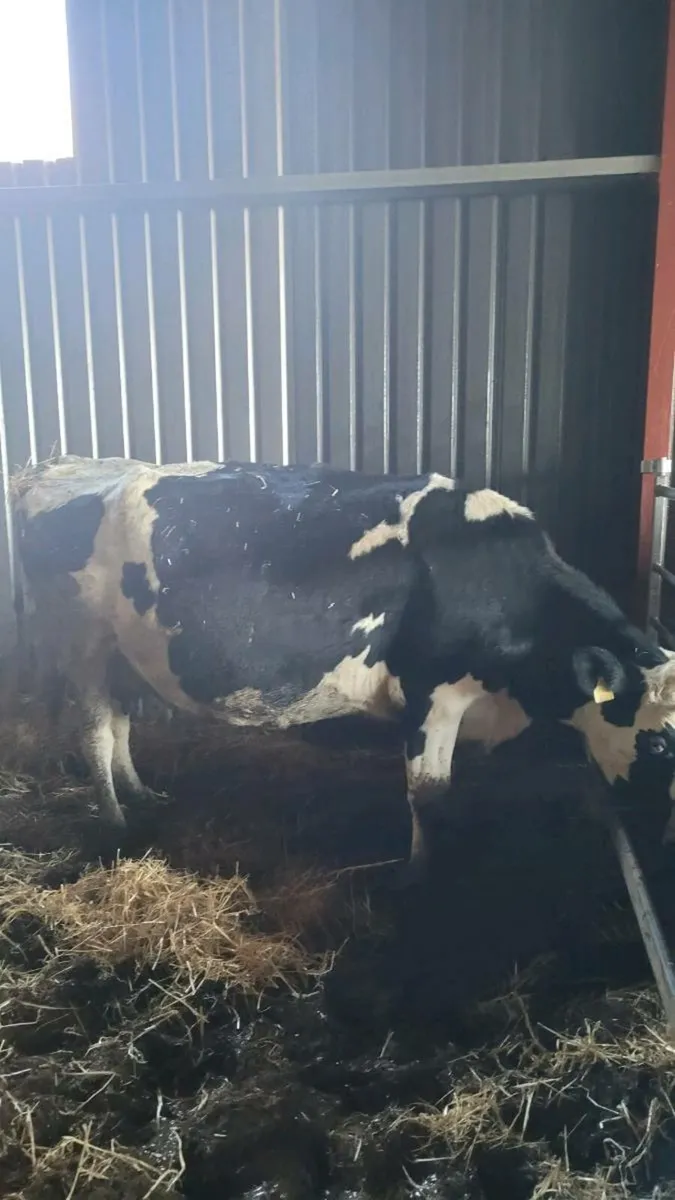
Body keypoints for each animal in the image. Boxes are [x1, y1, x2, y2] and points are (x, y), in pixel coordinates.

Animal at [11, 454, 675, 881]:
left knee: (120, 722)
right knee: (95, 732)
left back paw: (142, 793)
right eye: (662, 743)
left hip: (120, 651)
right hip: (79, 638)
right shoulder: (433, 691)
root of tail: (56, 465)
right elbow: (429, 792)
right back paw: (117, 821)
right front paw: (422, 876)